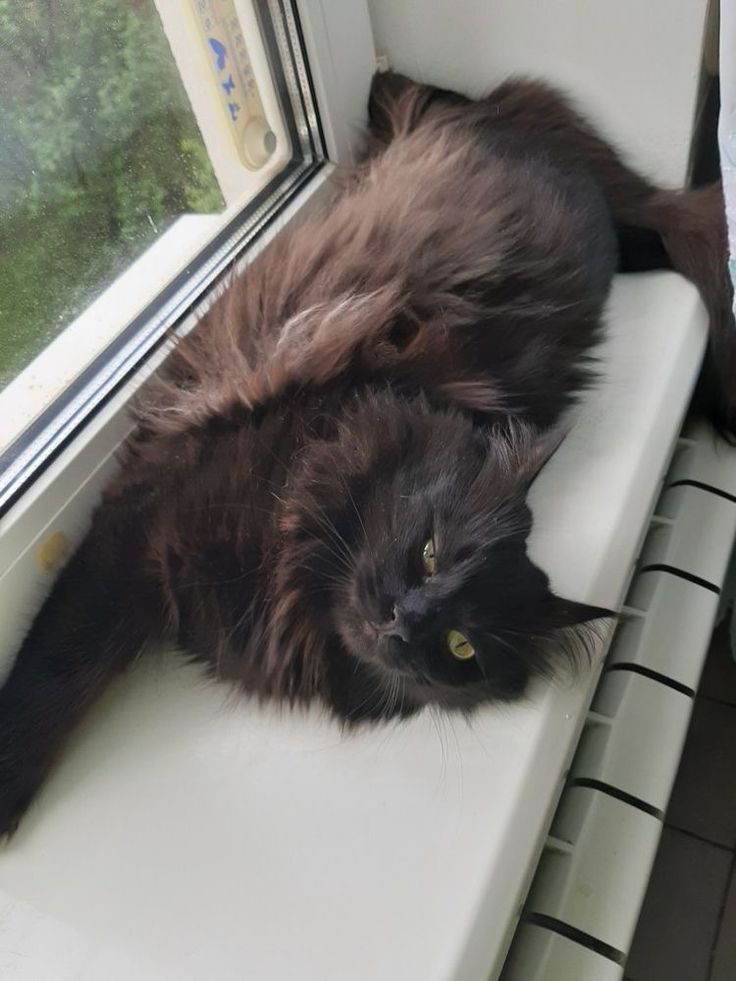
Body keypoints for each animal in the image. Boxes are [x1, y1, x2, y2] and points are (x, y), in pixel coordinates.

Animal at [0, 71, 732, 836]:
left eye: (462, 647)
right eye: (431, 551)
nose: (404, 622)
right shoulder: (140, 525)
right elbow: (56, 671)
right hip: (456, 125)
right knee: (426, 96)